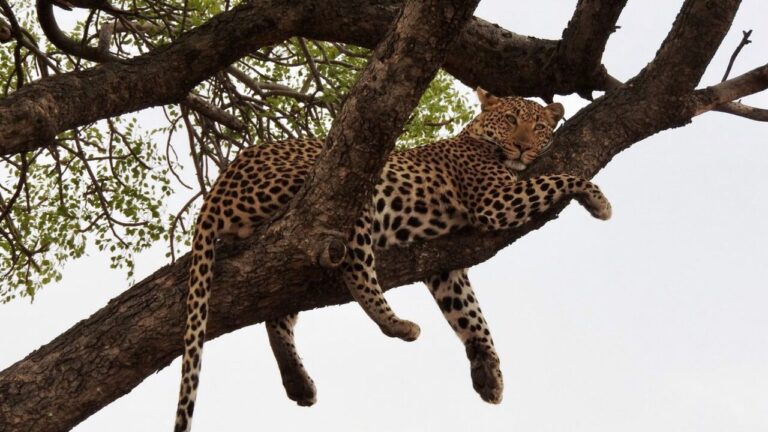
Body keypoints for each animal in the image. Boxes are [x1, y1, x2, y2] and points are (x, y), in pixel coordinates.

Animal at [174, 88, 612, 432]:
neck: (476, 138)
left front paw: (488, 373)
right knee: (356, 269)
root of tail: (221, 183)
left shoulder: (445, 265)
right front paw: (599, 201)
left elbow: (470, 314)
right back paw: (397, 324)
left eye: (538, 127)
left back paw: (298, 382)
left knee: (276, 312)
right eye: (510, 120)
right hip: (351, 194)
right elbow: (563, 177)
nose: (523, 146)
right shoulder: (495, 201)